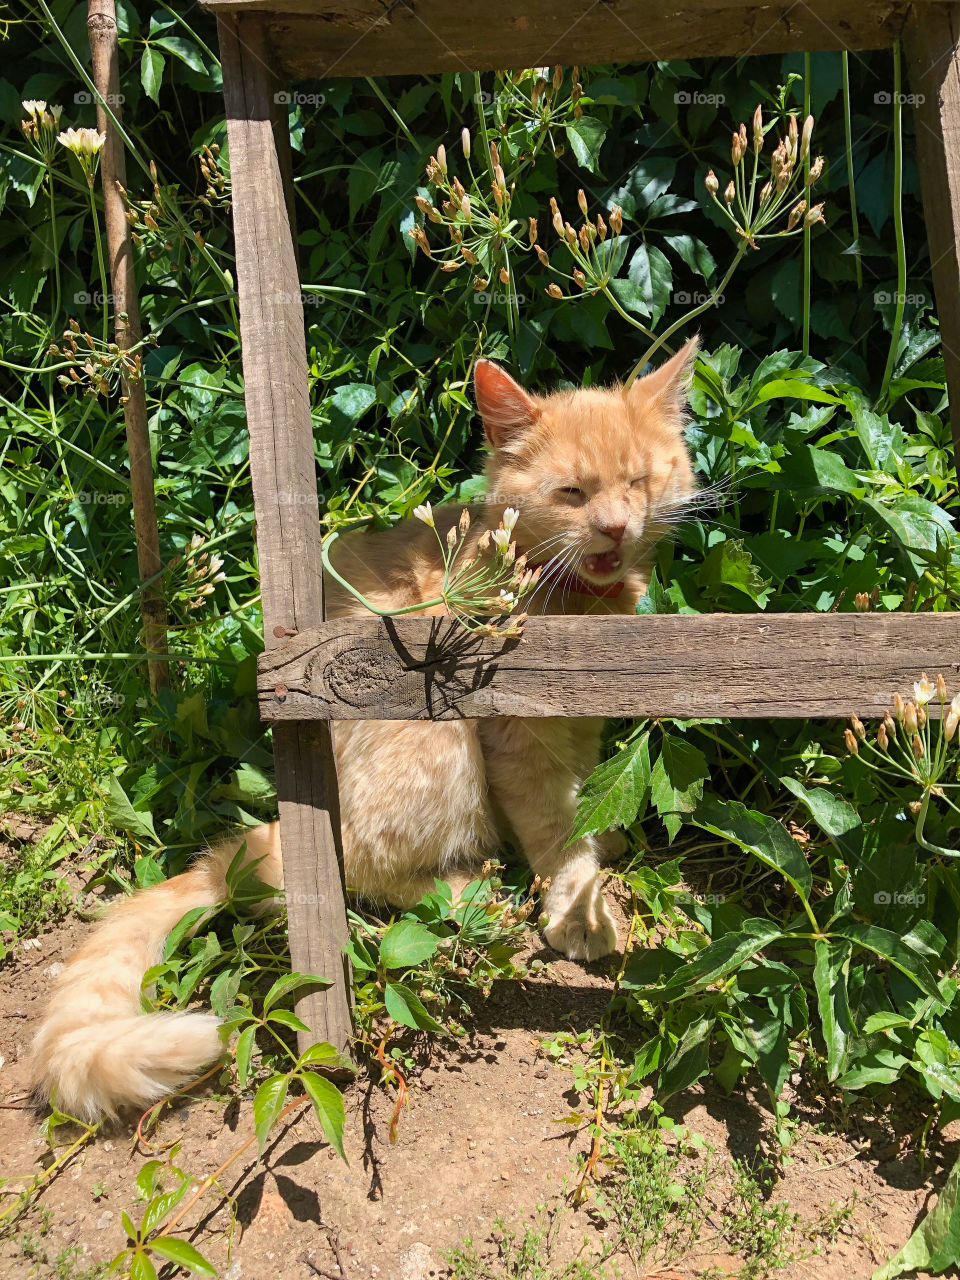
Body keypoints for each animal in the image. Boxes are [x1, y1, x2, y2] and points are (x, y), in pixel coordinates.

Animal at [30, 343, 701, 1121]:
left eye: (639, 480)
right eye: (571, 492)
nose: (617, 527)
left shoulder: (581, 728)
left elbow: (581, 799)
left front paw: (600, 841)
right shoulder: (516, 741)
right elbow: (554, 828)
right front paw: (578, 908)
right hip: (429, 754)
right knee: (351, 871)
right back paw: (466, 891)